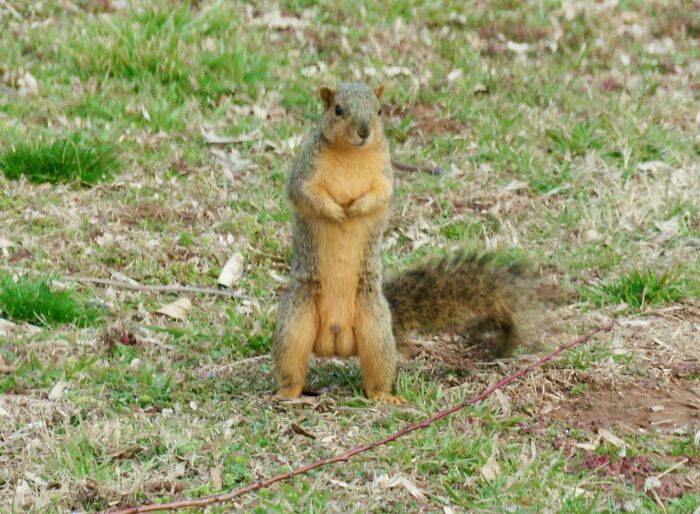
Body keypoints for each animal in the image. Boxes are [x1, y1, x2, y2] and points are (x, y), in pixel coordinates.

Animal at [272, 82, 539, 404]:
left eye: (379, 110)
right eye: (338, 109)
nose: (364, 131)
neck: (351, 154)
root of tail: (337, 344)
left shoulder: (384, 175)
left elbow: (382, 195)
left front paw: (357, 209)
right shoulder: (306, 169)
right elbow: (304, 193)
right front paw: (336, 212)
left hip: (374, 329)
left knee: (377, 374)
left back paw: (385, 397)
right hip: (296, 323)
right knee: (292, 366)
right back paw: (285, 394)